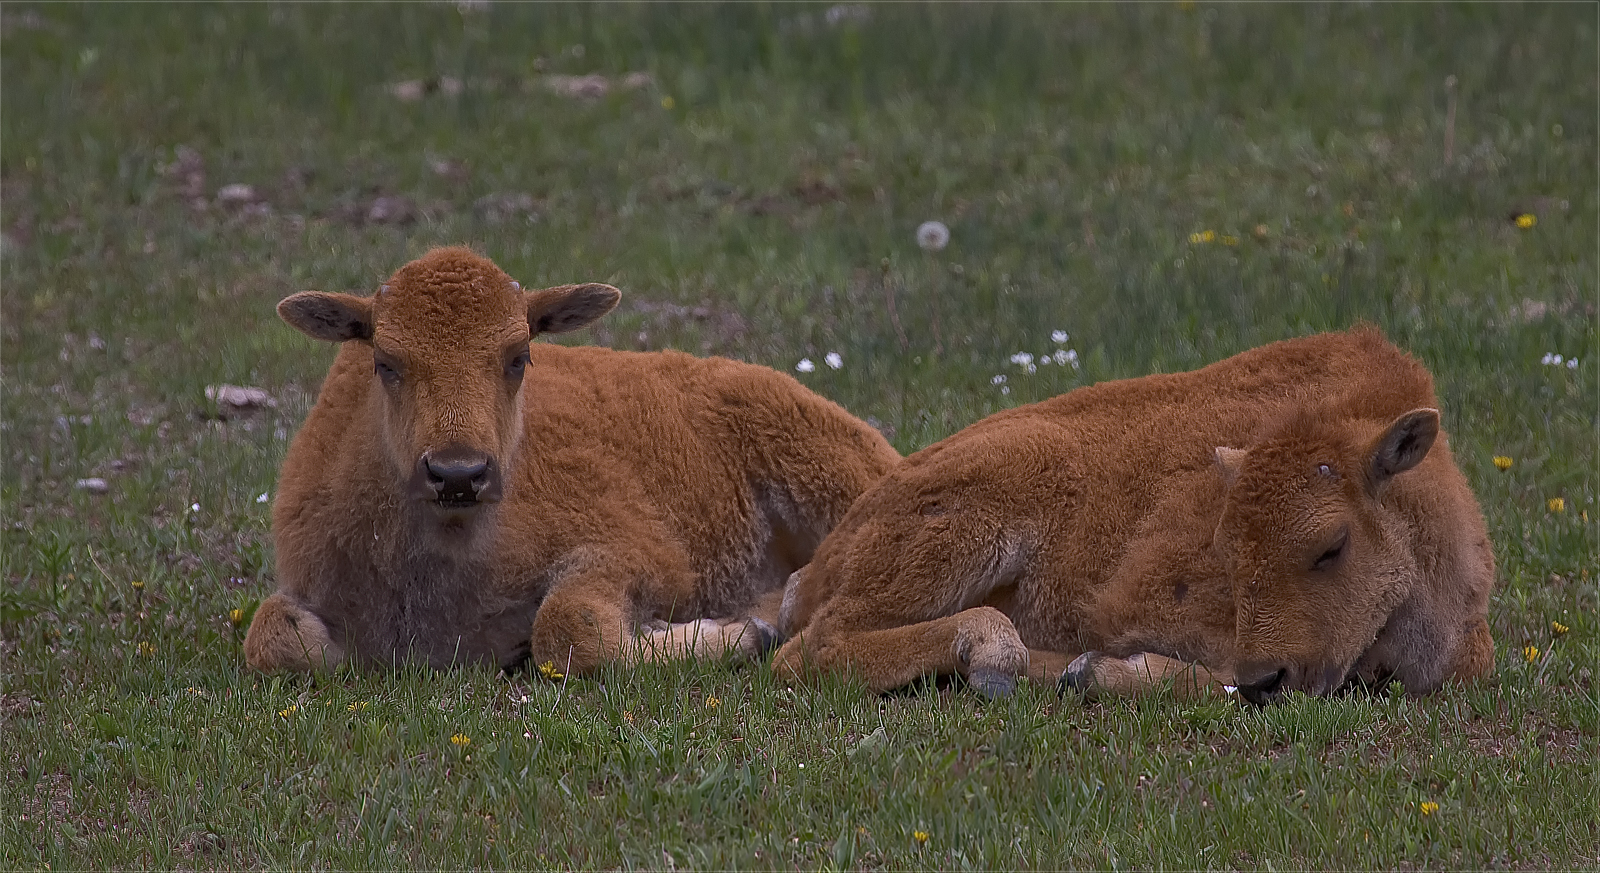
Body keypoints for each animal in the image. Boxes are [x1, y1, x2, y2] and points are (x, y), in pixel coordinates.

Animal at [246, 247, 902, 674]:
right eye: (385, 360)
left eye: (519, 356)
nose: (459, 474)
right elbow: (275, 642)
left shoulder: (641, 557)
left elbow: (568, 628)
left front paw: (736, 634)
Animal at [774, 326, 1497, 700]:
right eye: (1226, 550)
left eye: (1330, 545)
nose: (1269, 678)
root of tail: (836, 545)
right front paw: (1093, 670)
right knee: (814, 646)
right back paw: (994, 655)